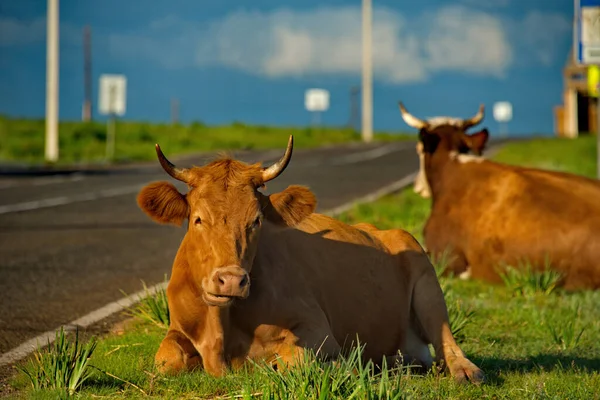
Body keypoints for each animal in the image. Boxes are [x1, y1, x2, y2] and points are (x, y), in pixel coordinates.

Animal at [136, 136, 482, 382]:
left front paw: (346, 368)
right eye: (197, 219)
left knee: (446, 339)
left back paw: (465, 371)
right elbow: (166, 359)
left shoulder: (318, 330)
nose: (231, 280)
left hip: (427, 280)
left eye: (256, 221)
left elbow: (290, 362)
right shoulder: (177, 330)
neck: (221, 328)